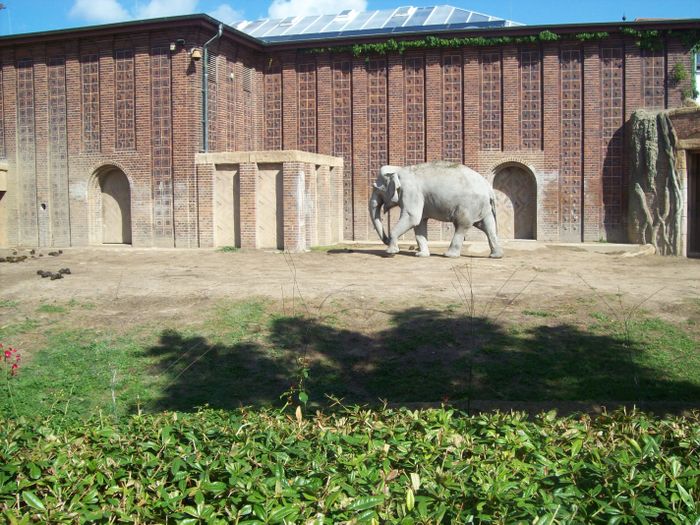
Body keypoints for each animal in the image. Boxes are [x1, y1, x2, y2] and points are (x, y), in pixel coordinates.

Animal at [366, 160, 504, 258]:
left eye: (376, 189)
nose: (386, 239)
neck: (398, 169)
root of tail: (489, 188)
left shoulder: (411, 191)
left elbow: (412, 218)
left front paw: (390, 252)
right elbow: (419, 224)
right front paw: (421, 255)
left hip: (469, 206)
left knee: (461, 225)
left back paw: (449, 255)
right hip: (483, 207)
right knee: (487, 226)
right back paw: (496, 256)